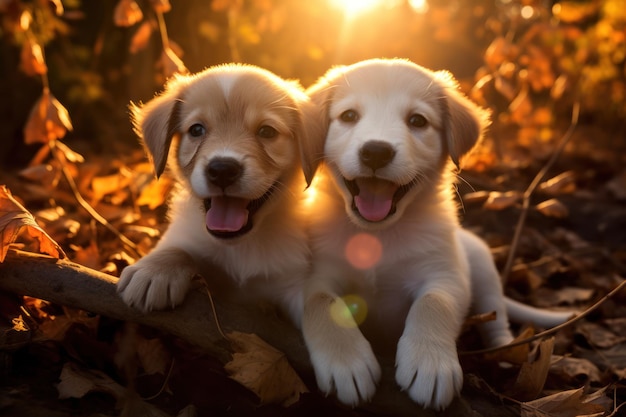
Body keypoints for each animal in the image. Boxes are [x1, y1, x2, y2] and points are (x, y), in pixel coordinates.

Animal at [115, 63, 314, 320]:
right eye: (196, 130)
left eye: (267, 132)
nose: (222, 170)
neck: (241, 246)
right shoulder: (186, 236)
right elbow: (179, 248)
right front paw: (154, 270)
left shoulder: (293, 281)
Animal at [300, 58, 568, 410]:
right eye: (348, 116)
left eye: (417, 121)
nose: (376, 152)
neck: (378, 236)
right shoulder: (313, 274)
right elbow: (321, 302)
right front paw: (346, 362)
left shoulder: (446, 274)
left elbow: (433, 302)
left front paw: (429, 364)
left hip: (482, 265)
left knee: (496, 317)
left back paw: (505, 351)